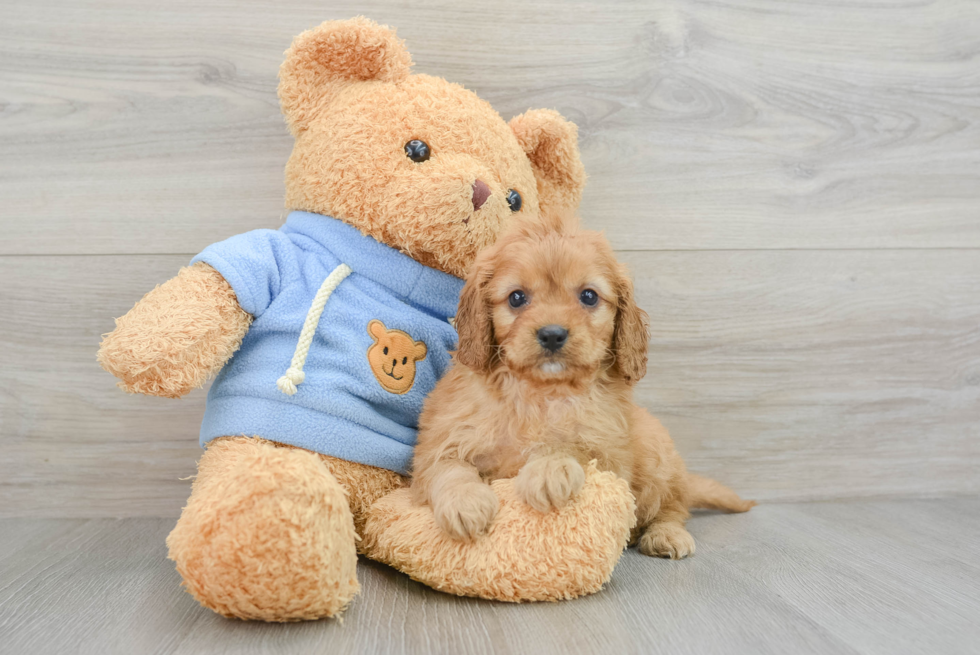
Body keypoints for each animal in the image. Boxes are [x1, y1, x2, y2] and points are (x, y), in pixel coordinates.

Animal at [410, 219, 756, 560]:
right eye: (516, 298)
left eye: (589, 296)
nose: (552, 334)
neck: (541, 391)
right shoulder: (443, 441)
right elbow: (448, 469)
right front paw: (465, 504)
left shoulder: (609, 452)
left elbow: (572, 445)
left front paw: (549, 467)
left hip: (657, 455)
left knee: (673, 506)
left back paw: (665, 535)